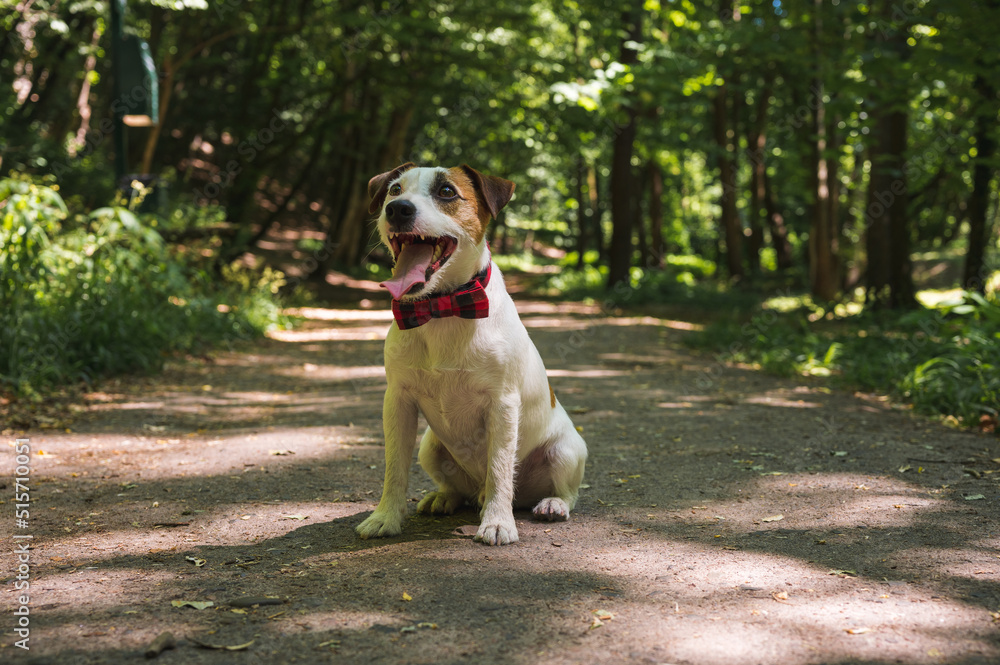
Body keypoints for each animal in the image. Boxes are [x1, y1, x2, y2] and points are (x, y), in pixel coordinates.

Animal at [356, 162, 584, 544]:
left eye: (447, 191)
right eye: (394, 189)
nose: (398, 209)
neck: (442, 307)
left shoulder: (503, 405)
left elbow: (499, 467)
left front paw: (498, 522)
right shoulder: (398, 401)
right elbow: (394, 467)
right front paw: (385, 517)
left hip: (567, 451)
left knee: (564, 491)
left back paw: (551, 504)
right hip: (430, 447)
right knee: (457, 488)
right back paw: (443, 498)